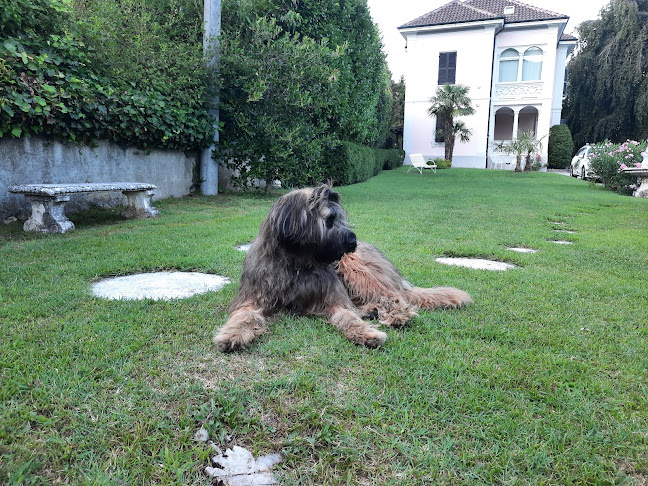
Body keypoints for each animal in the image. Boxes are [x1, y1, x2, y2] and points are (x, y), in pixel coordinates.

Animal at [215, 184, 474, 352]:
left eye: (341, 218)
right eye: (329, 220)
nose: (352, 240)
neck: (297, 264)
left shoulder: (334, 298)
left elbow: (347, 316)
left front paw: (367, 333)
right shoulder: (254, 296)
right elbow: (245, 315)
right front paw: (232, 334)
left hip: (354, 267)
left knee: (393, 296)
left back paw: (397, 316)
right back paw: (371, 310)